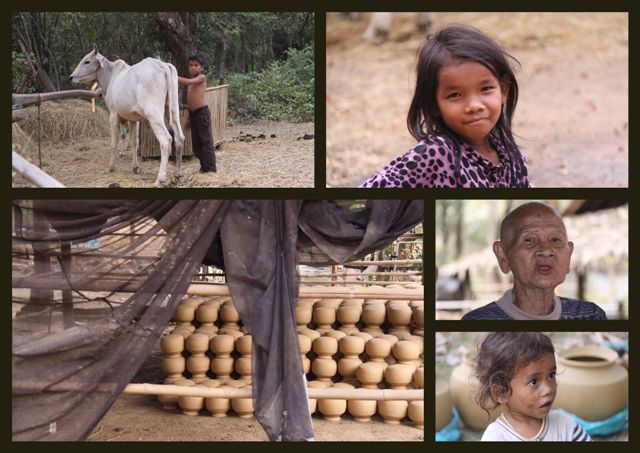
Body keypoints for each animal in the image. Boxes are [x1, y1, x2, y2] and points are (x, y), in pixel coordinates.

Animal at [70, 48, 185, 185]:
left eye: (87, 61)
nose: (71, 77)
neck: (111, 77)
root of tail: (161, 64)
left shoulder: (113, 115)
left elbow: (114, 143)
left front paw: (111, 167)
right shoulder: (133, 119)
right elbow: (134, 142)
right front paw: (135, 167)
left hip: (154, 115)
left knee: (166, 140)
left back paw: (160, 179)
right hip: (173, 110)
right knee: (179, 137)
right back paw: (177, 174)